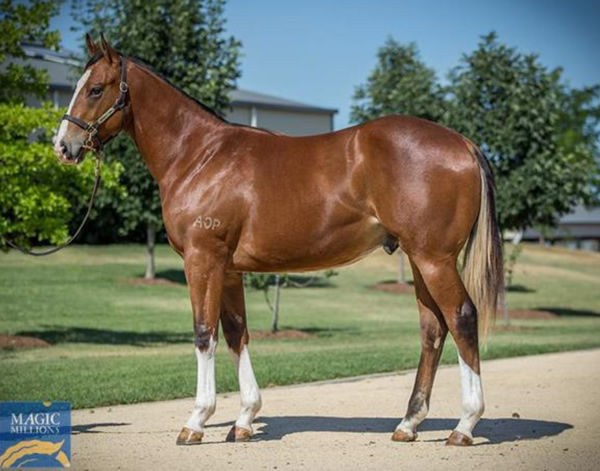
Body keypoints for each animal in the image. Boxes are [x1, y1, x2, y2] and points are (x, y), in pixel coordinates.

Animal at [56, 35, 504, 448]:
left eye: (95, 89)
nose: (63, 146)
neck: (200, 156)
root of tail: (463, 143)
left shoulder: (202, 260)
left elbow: (204, 333)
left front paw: (197, 420)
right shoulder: (229, 269)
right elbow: (236, 333)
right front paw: (243, 419)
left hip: (434, 259)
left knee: (462, 317)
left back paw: (464, 425)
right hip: (417, 258)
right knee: (433, 329)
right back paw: (408, 424)